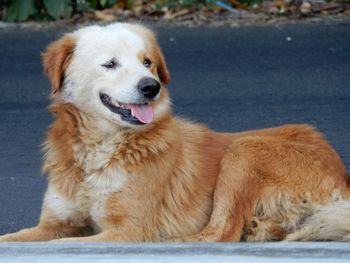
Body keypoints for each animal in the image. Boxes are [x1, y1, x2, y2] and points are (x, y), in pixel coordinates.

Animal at [0, 23, 350, 243]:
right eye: (110, 64)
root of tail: (341, 173)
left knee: (220, 231)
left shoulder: (129, 231)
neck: (98, 151)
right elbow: (12, 239)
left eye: (147, 63)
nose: (151, 87)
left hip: (244, 150)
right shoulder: (56, 223)